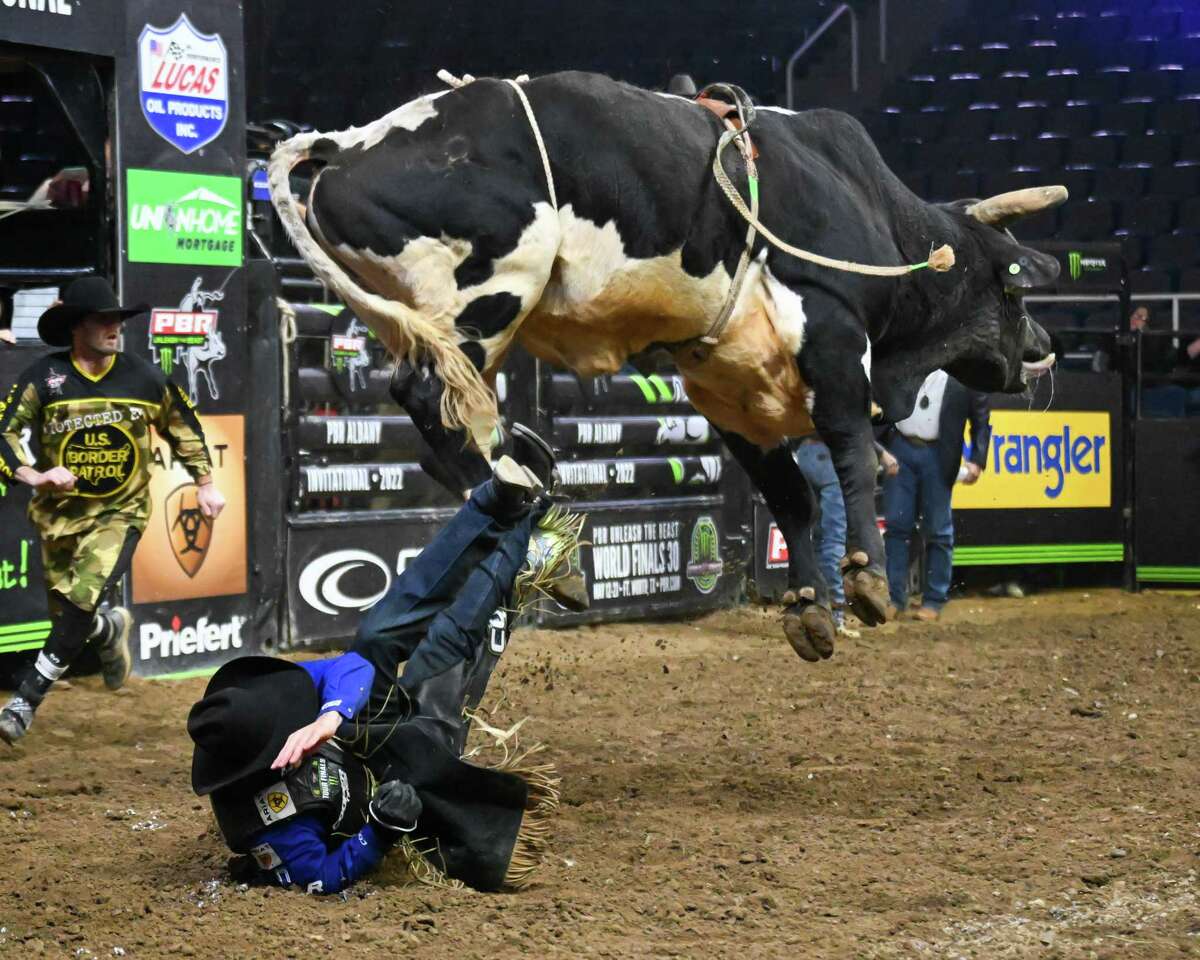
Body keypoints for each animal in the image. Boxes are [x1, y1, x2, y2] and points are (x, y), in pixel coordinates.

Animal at [270, 71, 1060, 662]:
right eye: (1014, 287)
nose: (1041, 348)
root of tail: (349, 145)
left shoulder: (734, 390)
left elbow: (793, 497)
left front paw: (808, 608)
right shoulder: (833, 339)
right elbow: (853, 456)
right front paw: (865, 581)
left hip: (429, 319)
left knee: (454, 427)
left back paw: (539, 527)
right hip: (488, 293)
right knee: (434, 408)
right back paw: (533, 515)